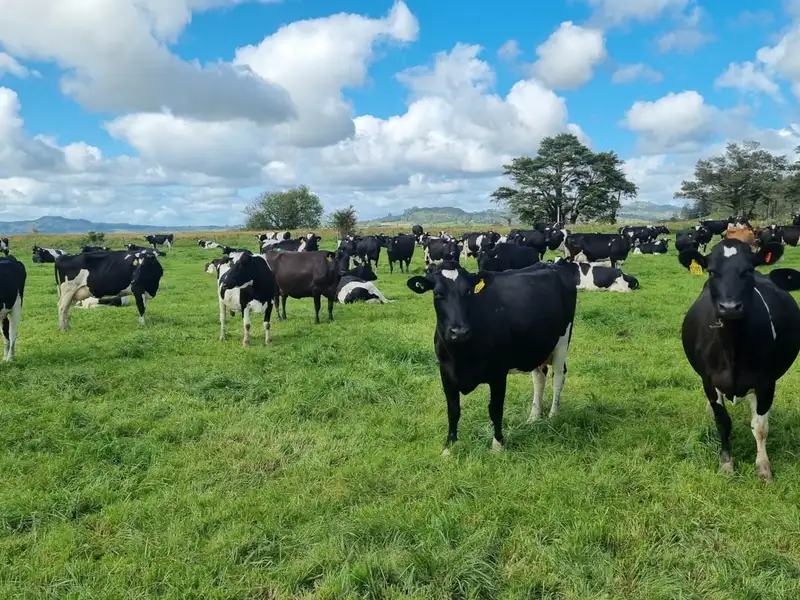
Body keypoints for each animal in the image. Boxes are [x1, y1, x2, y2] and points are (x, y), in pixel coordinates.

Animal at [407, 261, 577, 453]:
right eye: (438, 293)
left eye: (468, 291)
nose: (459, 331)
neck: (461, 356)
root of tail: (551, 264)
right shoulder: (445, 372)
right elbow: (453, 410)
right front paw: (449, 446)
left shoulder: (498, 373)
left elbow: (495, 409)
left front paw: (497, 445)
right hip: (536, 348)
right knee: (539, 378)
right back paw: (534, 417)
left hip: (562, 342)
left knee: (558, 377)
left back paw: (553, 415)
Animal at [677, 239, 800, 481]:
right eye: (712, 271)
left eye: (748, 270)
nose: (730, 307)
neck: (732, 349)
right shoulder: (709, 381)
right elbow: (722, 422)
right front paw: (726, 464)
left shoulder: (766, 382)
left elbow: (760, 426)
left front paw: (763, 467)